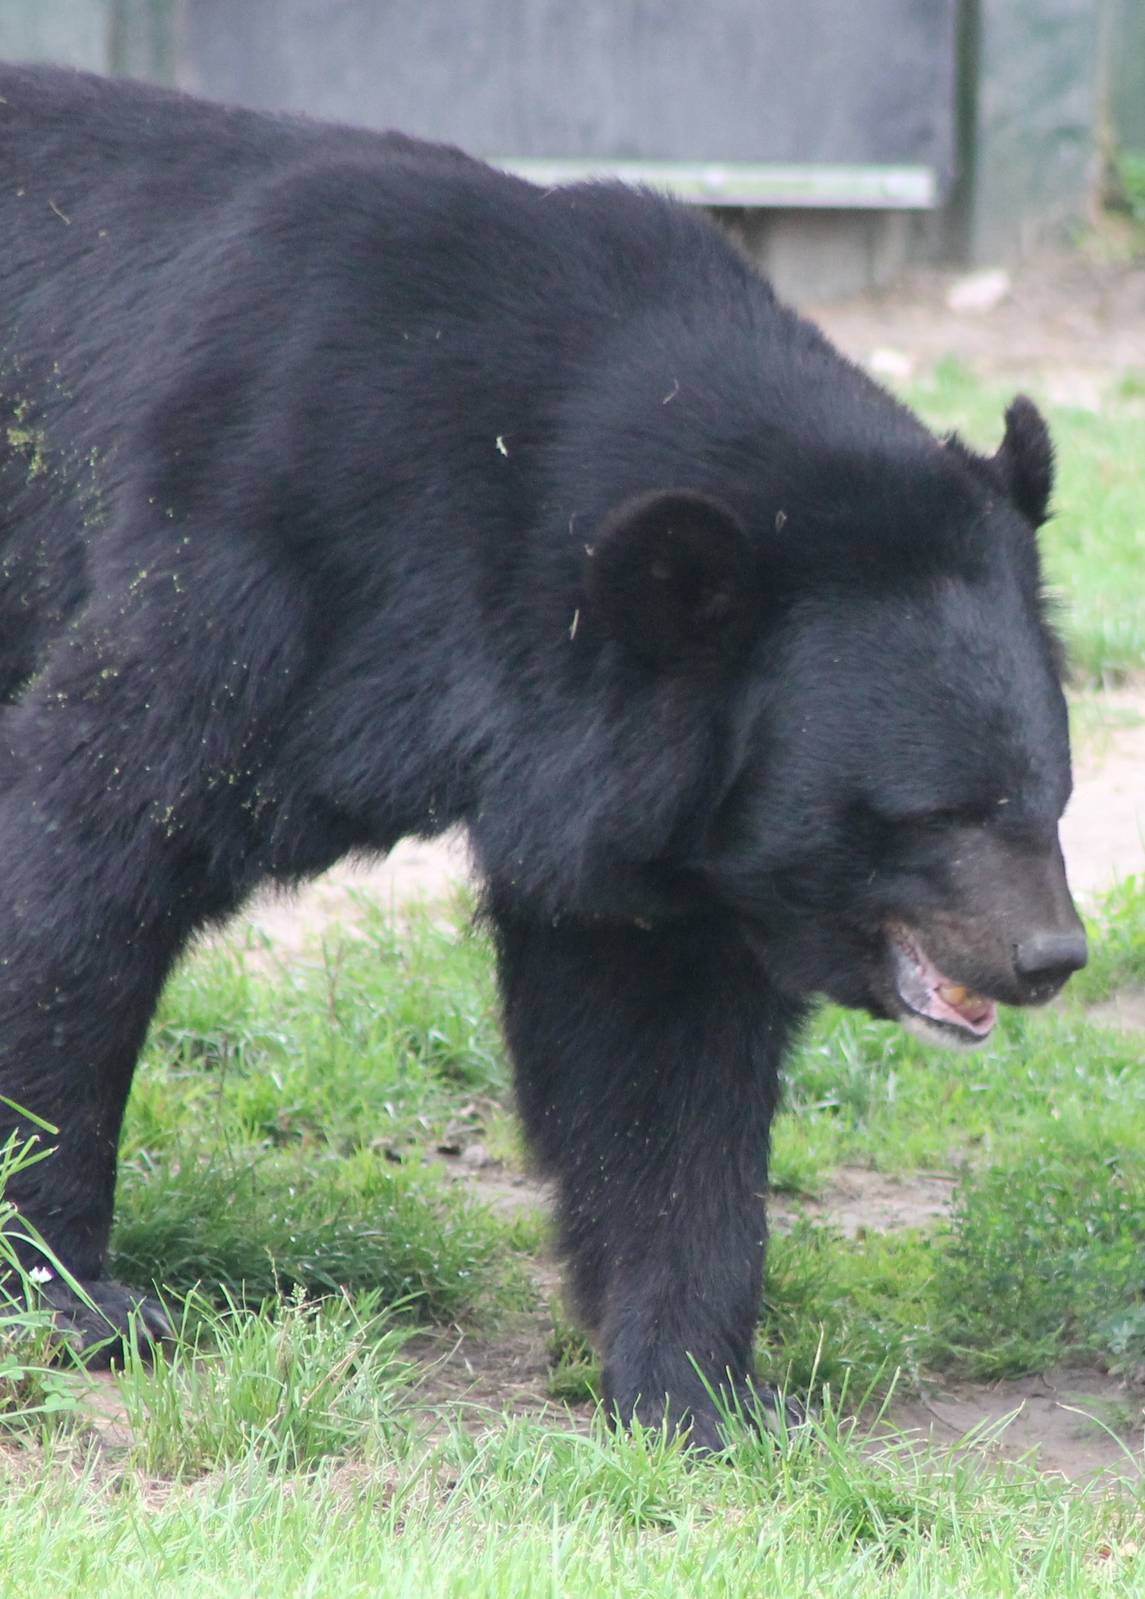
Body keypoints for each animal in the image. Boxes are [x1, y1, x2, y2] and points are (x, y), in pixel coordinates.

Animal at [0, 65, 1086, 1450]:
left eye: (1043, 798)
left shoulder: (662, 818)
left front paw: (705, 1395)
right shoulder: (249, 563)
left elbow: (654, 1050)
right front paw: (83, 1302)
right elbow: (87, 851)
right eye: (929, 812)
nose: (1047, 957)